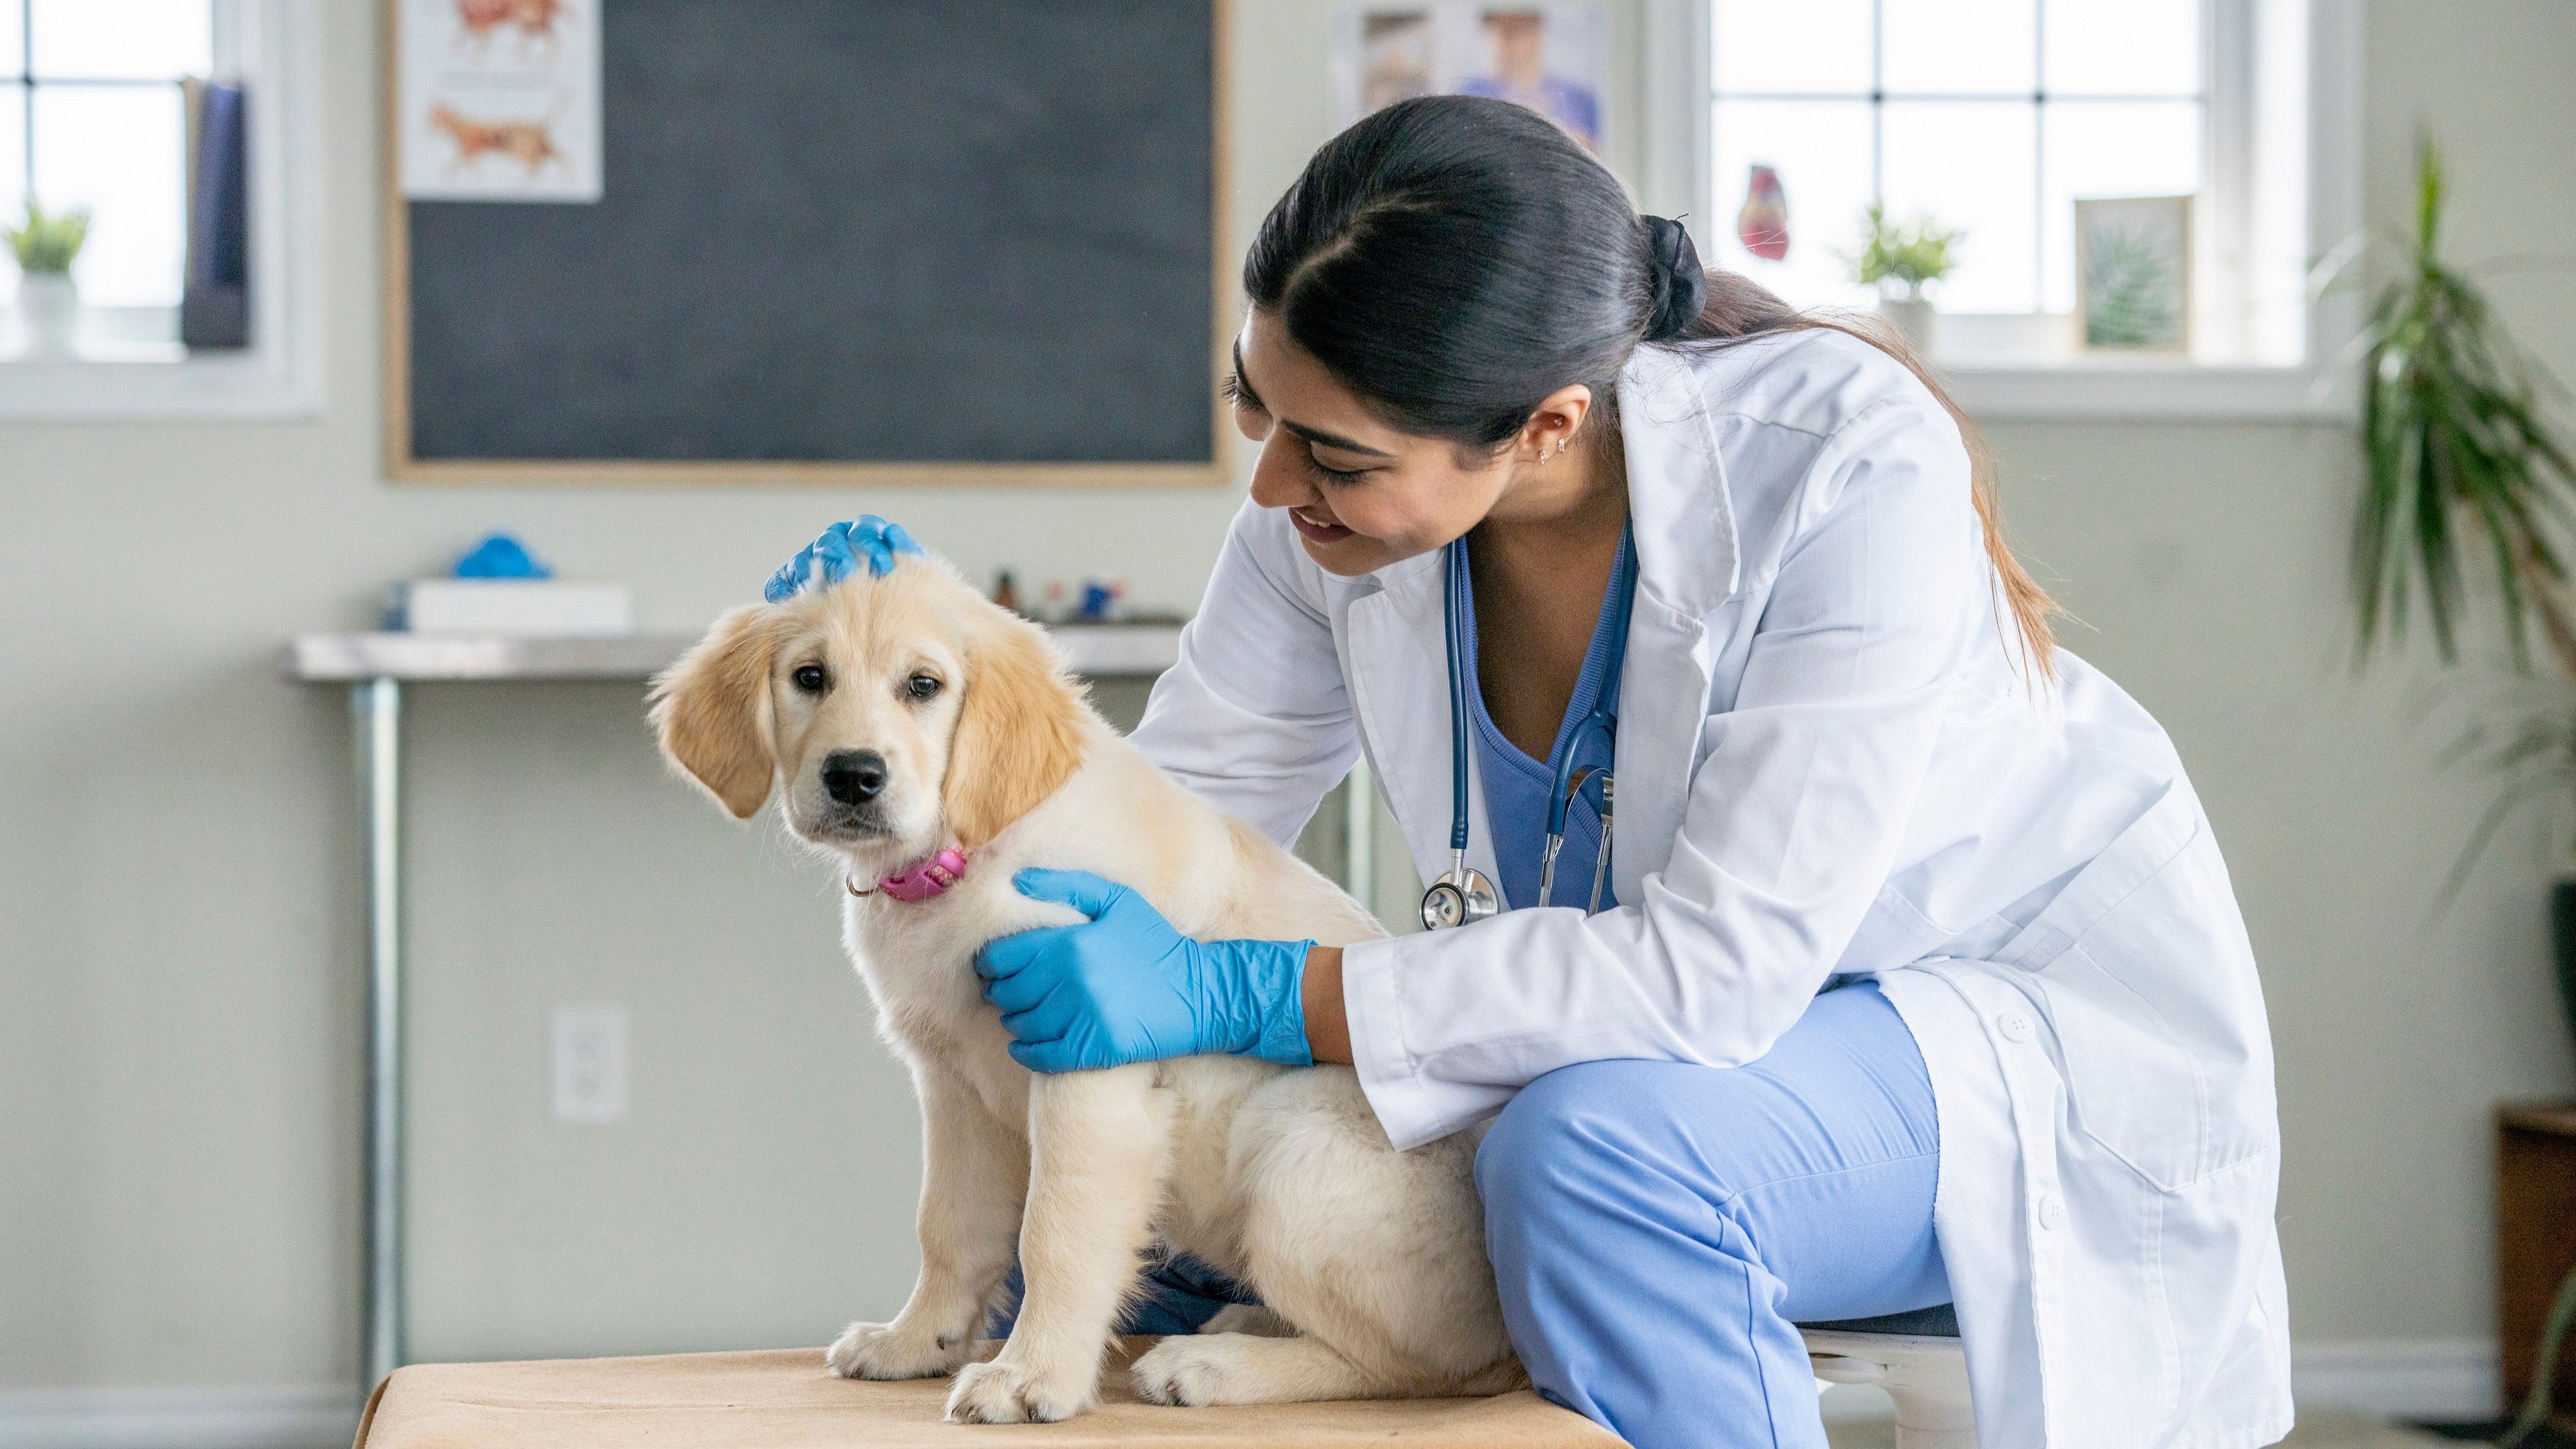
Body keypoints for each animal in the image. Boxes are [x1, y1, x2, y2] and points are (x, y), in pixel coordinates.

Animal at [654, 558, 1515, 1430]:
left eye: (923, 684)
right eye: (809, 677)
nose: (853, 775)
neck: (972, 854)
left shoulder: (1086, 1072)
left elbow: (1055, 1235)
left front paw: (1031, 1376)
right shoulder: (952, 1086)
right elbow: (948, 1225)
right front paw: (916, 1341)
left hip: (1292, 1151)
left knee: (1416, 1366)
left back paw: (1213, 1362)